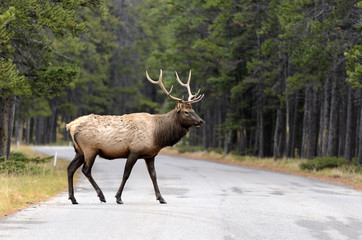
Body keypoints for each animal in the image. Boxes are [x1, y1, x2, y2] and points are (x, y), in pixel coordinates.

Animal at [66, 69, 205, 204]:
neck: (157, 135)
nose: (201, 121)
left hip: (79, 151)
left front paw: (161, 198)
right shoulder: (134, 151)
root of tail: (71, 126)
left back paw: (73, 198)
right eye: (186, 112)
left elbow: (154, 175)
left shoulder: (150, 155)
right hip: (90, 149)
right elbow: (126, 174)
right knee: (86, 170)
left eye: (193, 110)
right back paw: (101, 196)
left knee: (70, 168)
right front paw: (118, 198)